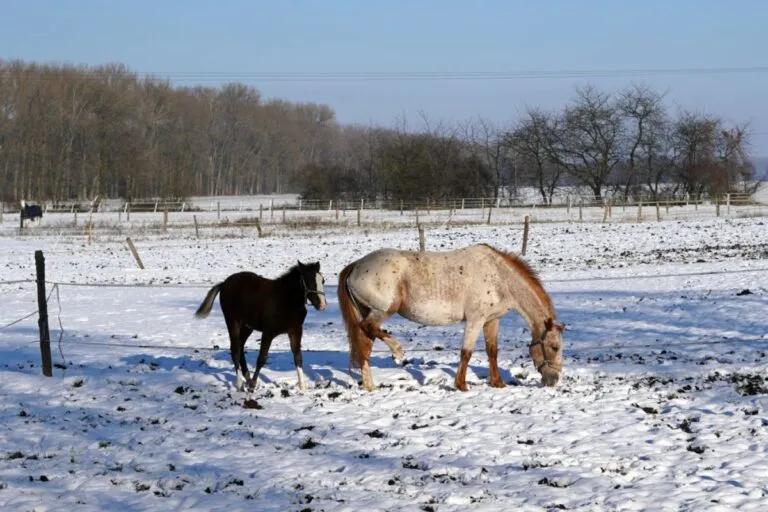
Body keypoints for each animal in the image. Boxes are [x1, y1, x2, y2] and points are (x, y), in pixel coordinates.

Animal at [195, 261, 327, 391]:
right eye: (310, 281)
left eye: (323, 280)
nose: (322, 305)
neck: (285, 301)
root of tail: (224, 283)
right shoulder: (268, 332)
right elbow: (262, 358)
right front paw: (253, 385)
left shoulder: (295, 330)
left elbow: (298, 357)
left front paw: (302, 388)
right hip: (233, 321)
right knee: (235, 349)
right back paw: (240, 384)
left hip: (247, 326)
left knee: (241, 345)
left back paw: (247, 378)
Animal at [337, 243, 564, 391]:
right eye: (554, 347)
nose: (553, 380)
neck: (499, 277)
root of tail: (356, 266)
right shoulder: (475, 320)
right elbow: (466, 353)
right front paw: (461, 385)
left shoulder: (491, 321)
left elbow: (492, 352)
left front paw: (498, 383)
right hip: (383, 310)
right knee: (367, 327)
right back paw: (397, 351)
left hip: (370, 311)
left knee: (364, 345)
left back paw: (370, 386)